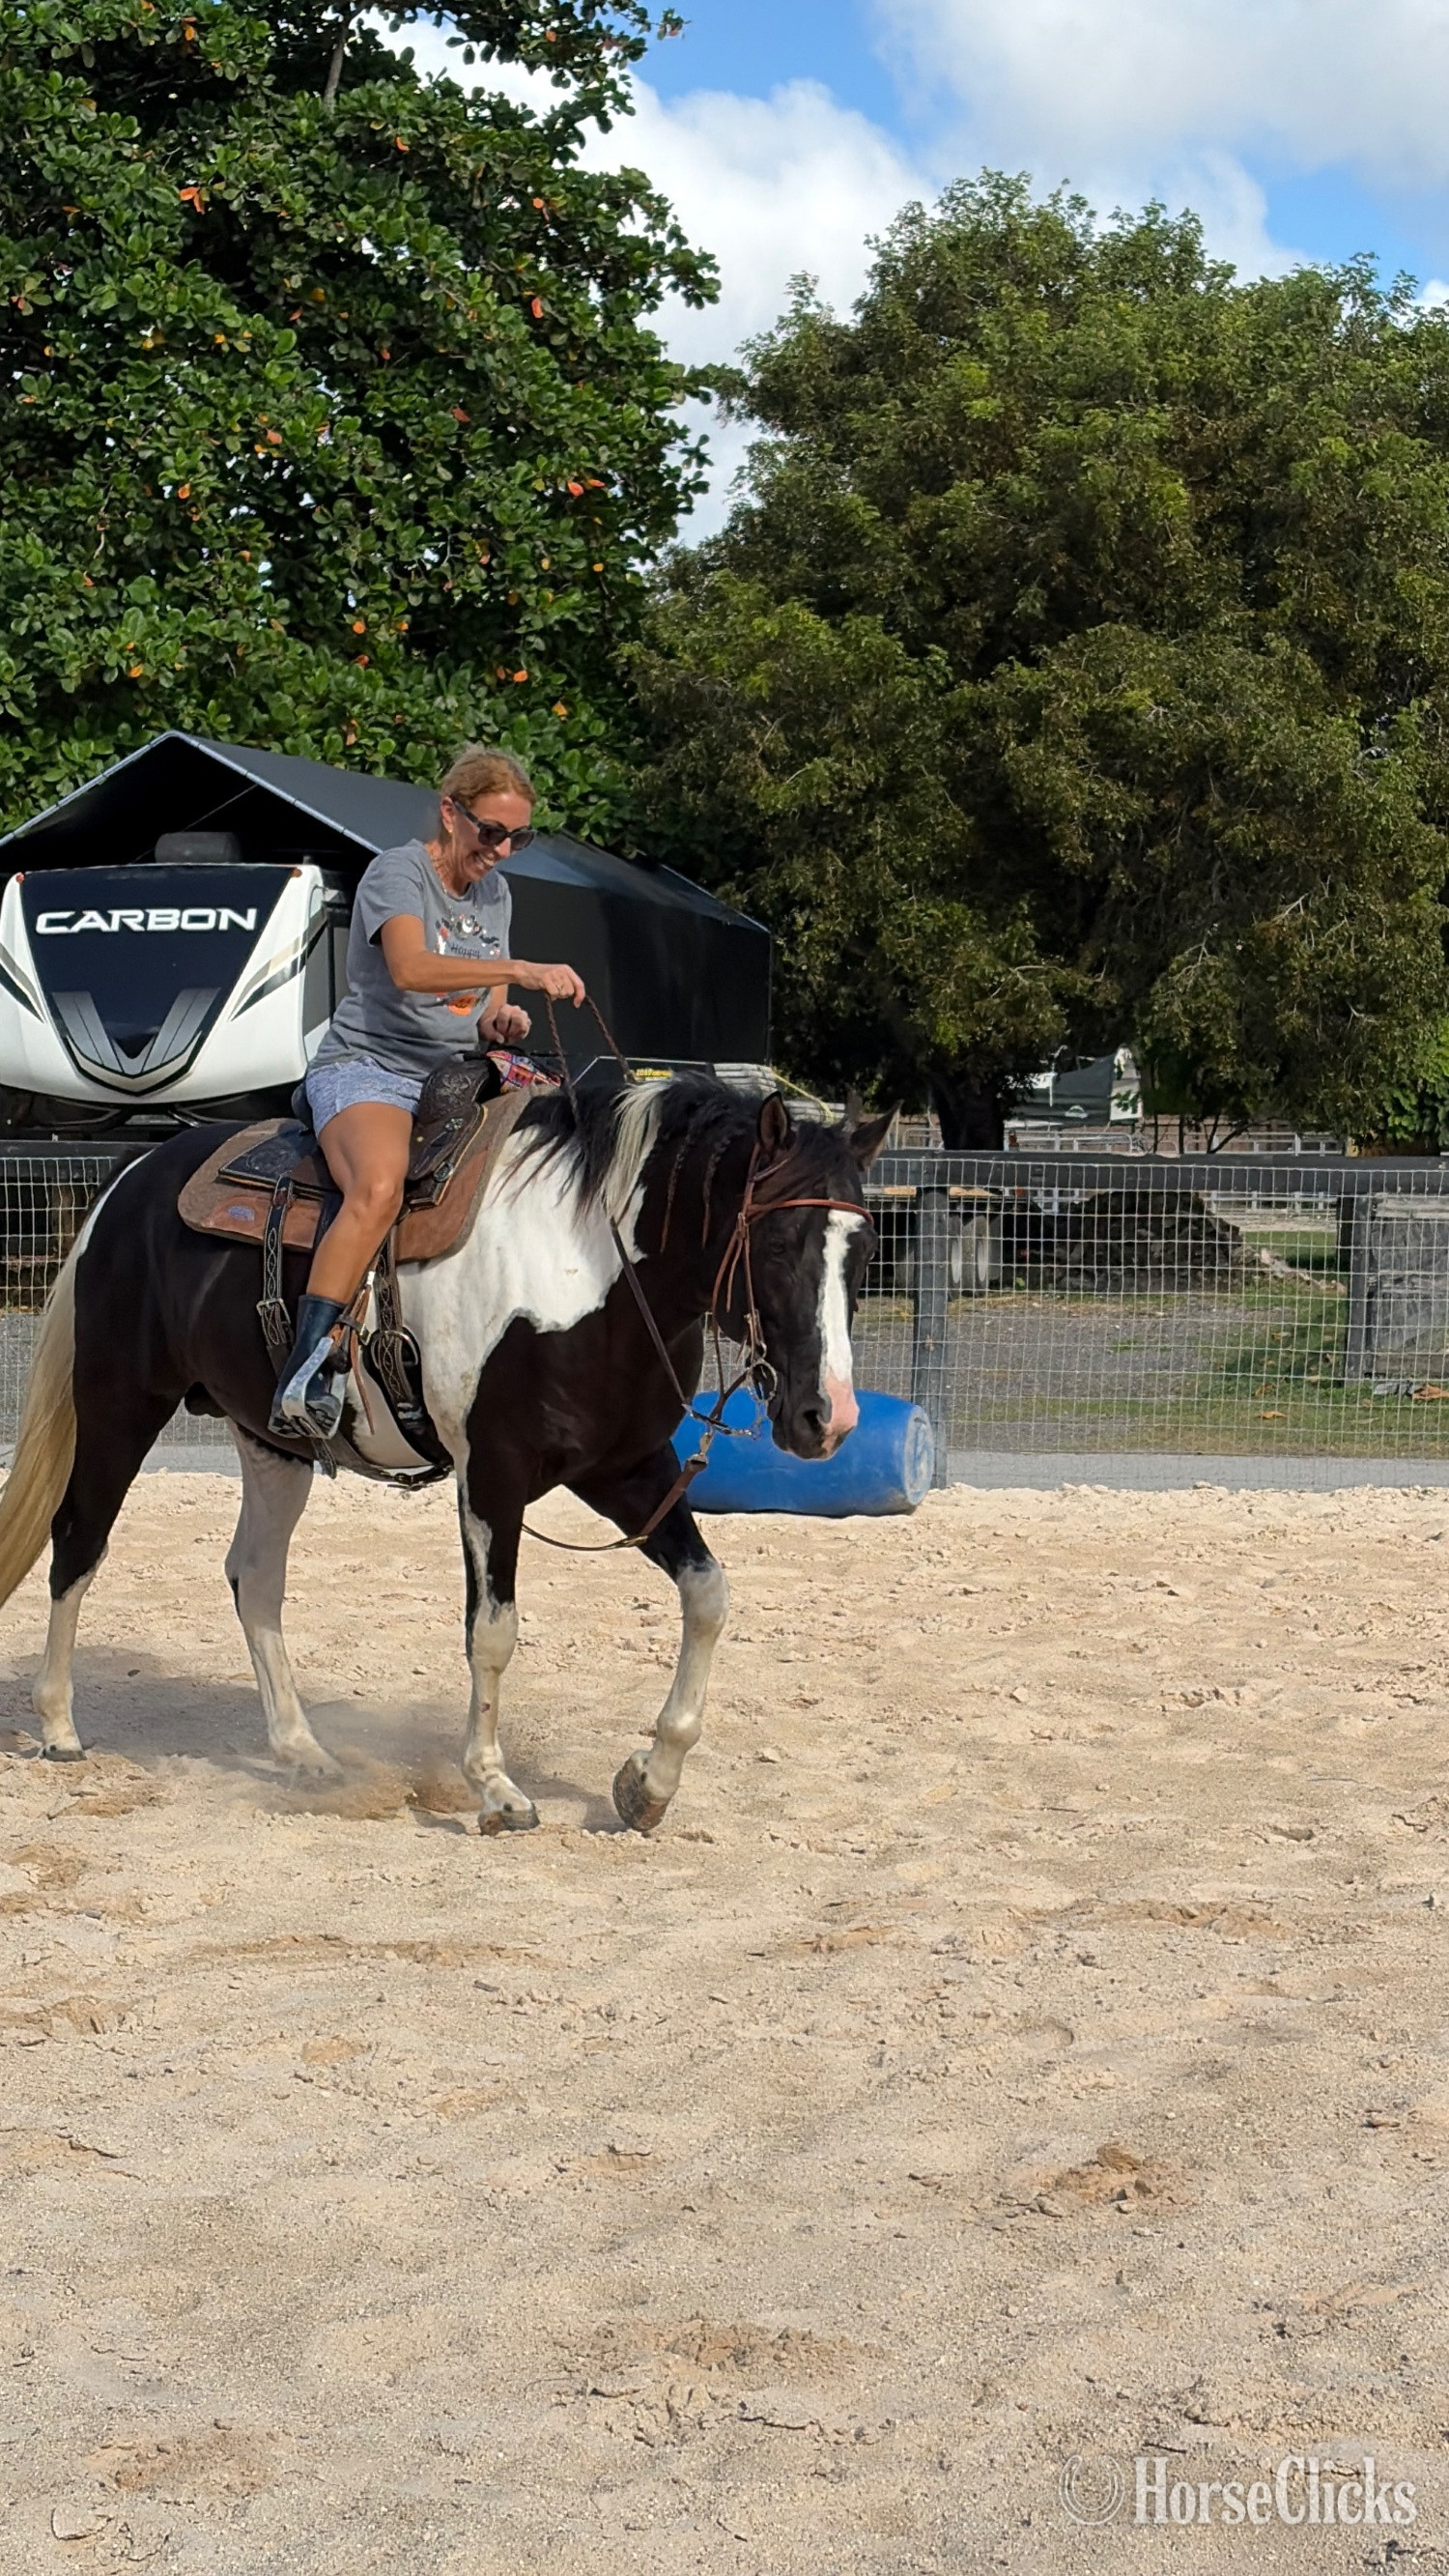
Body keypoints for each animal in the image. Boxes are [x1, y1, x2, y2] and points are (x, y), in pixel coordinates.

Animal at [0, 1076, 887, 1834]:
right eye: (778, 1242)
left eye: (864, 1250)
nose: (827, 1417)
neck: (587, 1272)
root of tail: (135, 1174)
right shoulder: (492, 1473)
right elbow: (491, 1631)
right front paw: (496, 1788)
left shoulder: (628, 1470)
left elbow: (708, 1596)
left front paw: (649, 1782)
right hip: (120, 1403)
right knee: (78, 1540)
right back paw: (59, 1725)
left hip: (270, 1441)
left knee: (254, 1577)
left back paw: (304, 1753)